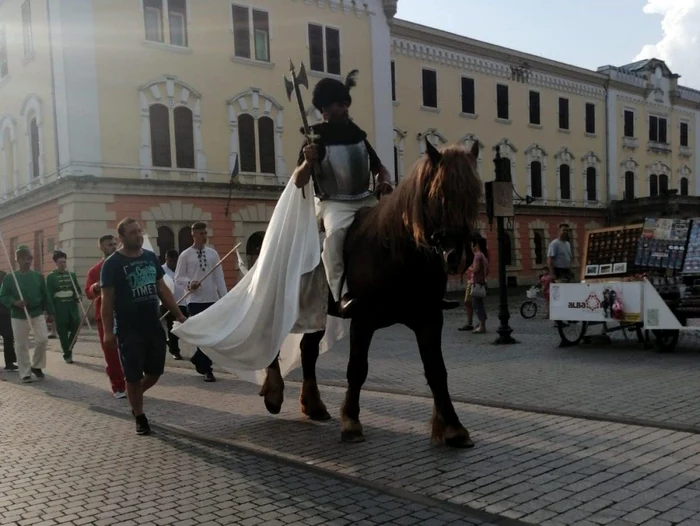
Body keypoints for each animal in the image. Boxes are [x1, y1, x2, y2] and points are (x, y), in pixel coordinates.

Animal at [260, 139, 484, 450]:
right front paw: (351, 421)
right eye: (439, 194)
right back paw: (273, 393)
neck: (398, 253)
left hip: (317, 312)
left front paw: (452, 426)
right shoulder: (363, 321)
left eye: (475, 195)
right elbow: (357, 368)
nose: (457, 256)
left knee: (308, 350)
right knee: (273, 339)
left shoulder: (429, 320)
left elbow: (436, 370)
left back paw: (314, 405)